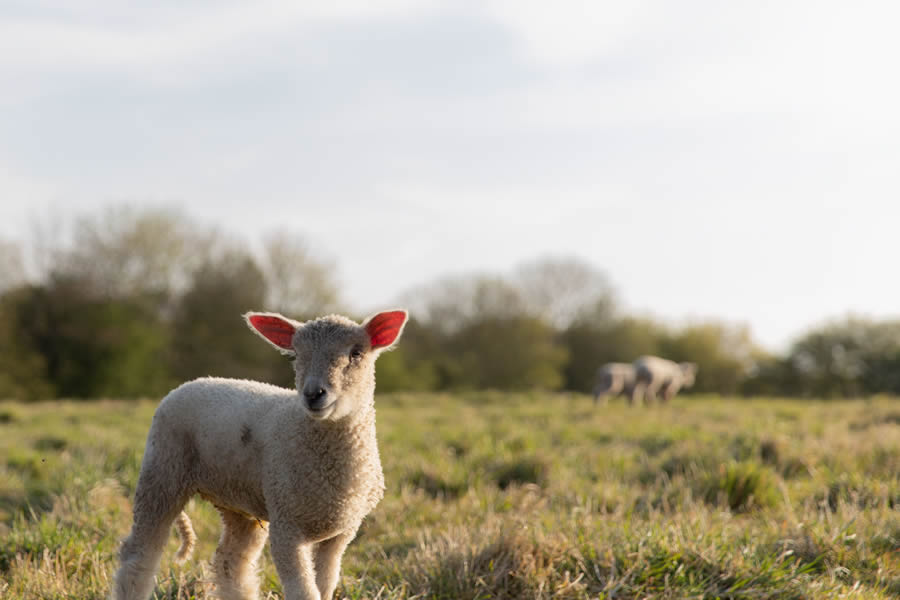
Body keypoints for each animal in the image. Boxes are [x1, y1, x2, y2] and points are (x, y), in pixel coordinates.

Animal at [112, 309, 408, 600]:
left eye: (356, 353)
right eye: (296, 354)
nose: (313, 394)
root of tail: (192, 382)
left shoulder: (341, 533)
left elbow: (325, 586)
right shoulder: (286, 525)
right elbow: (304, 592)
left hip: (237, 500)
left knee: (231, 562)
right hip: (162, 469)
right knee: (139, 554)